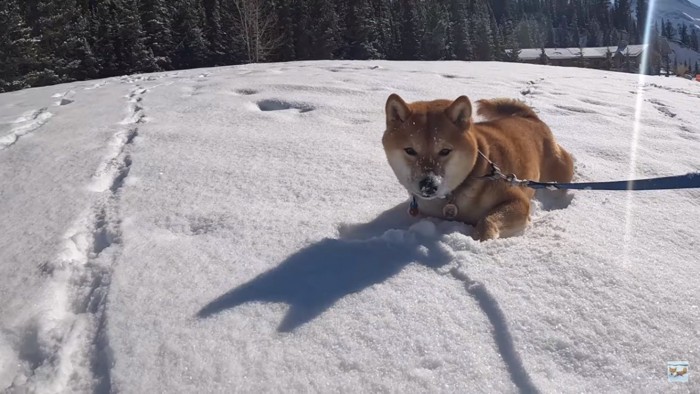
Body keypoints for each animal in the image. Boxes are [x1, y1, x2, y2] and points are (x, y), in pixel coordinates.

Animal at [382, 94, 576, 240]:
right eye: (410, 150)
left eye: (445, 151)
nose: (428, 186)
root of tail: (530, 118)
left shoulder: (518, 201)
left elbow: (486, 220)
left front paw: (481, 239)